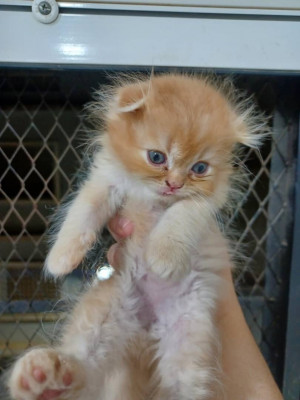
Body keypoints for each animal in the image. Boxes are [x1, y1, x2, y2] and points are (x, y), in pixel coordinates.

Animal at [5, 73, 266, 398]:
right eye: (156, 157)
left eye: (199, 168)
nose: (174, 184)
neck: (154, 197)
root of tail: (145, 331)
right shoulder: (105, 181)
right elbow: (82, 213)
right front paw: (60, 259)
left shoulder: (203, 205)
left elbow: (180, 216)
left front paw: (163, 256)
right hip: (105, 310)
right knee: (83, 368)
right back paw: (42, 377)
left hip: (189, 336)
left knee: (179, 387)